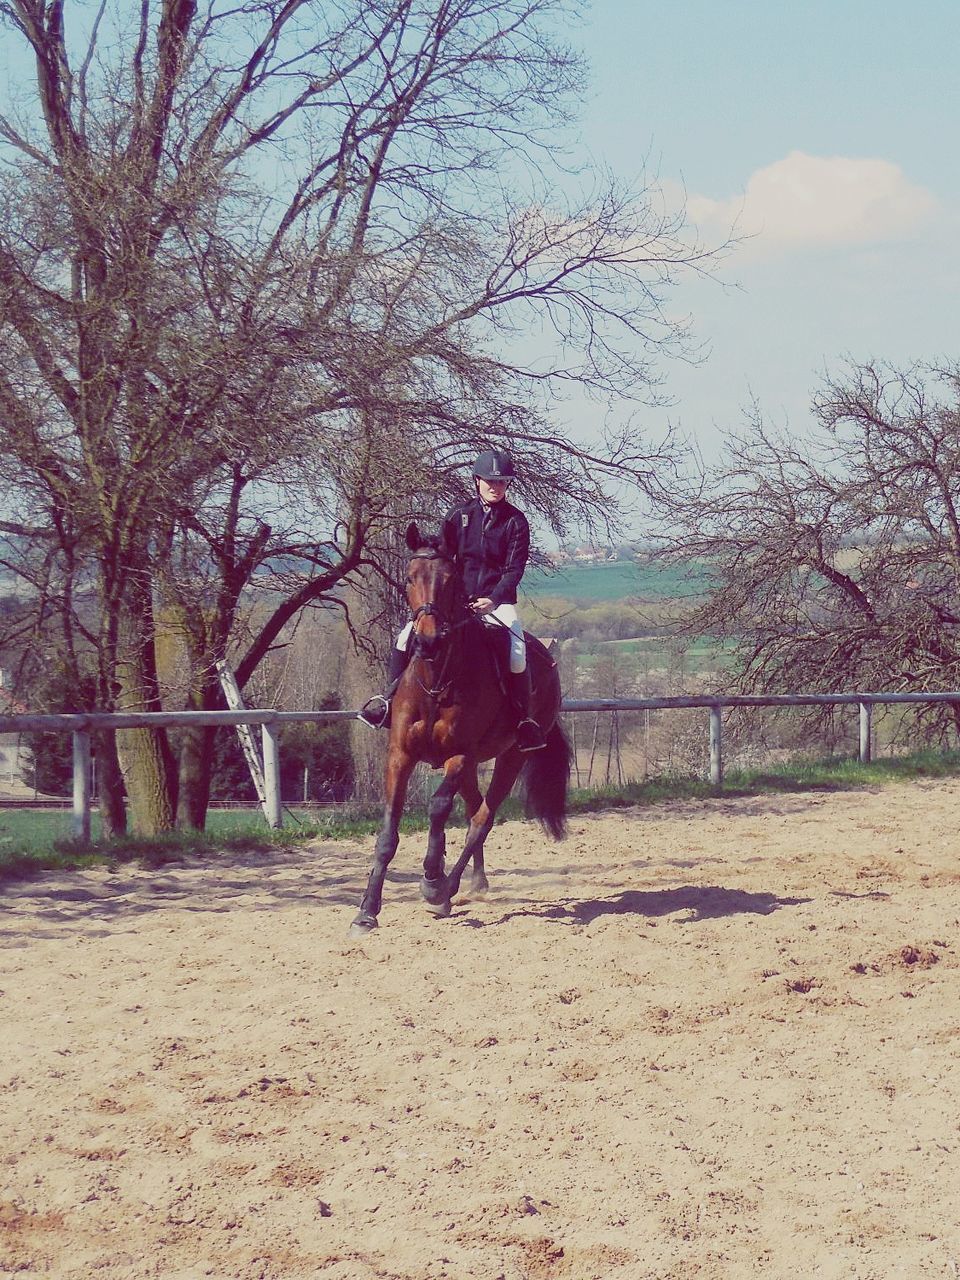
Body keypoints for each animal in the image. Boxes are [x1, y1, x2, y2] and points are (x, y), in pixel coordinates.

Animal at [358, 519, 576, 931]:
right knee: (474, 808)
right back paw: (475, 882)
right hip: (475, 765)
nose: (427, 641)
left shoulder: (459, 756)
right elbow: (388, 833)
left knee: (482, 819)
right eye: (409, 577)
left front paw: (431, 878)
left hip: (510, 758)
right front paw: (366, 911)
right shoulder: (400, 756)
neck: (436, 681)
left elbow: (438, 806)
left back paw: (445, 891)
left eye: (450, 579)